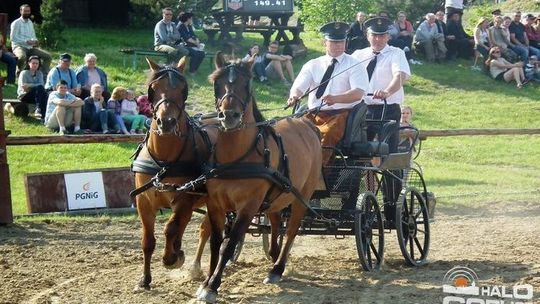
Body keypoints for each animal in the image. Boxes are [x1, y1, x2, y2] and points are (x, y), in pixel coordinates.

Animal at [131, 57, 215, 290]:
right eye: (153, 88)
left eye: (182, 89)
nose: (166, 122)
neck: (164, 160)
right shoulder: (144, 201)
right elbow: (148, 241)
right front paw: (145, 280)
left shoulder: (184, 198)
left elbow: (171, 227)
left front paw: (172, 258)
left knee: (204, 229)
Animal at [196, 53, 322, 302]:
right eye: (217, 83)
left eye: (246, 84)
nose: (229, 115)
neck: (235, 158)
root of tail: (306, 123)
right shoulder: (215, 204)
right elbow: (216, 243)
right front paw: (206, 283)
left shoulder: (248, 207)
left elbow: (229, 244)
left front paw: (213, 285)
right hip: (277, 195)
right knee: (275, 222)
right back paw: (273, 255)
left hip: (302, 196)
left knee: (291, 229)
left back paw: (278, 268)